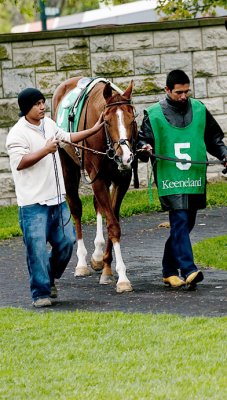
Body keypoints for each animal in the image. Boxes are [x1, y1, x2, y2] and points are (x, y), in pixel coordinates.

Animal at [53, 76, 137, 292]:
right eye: (106, 122)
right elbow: (113, 224)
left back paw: (98, 256)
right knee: (76, 208)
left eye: (132, 120)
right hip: (67, 166)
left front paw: (107, 266)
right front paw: (122, 278)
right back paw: (82, 263)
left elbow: (112, 219)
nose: (126, 156)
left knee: (99, 206)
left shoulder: (122, 178)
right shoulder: (97, 178)